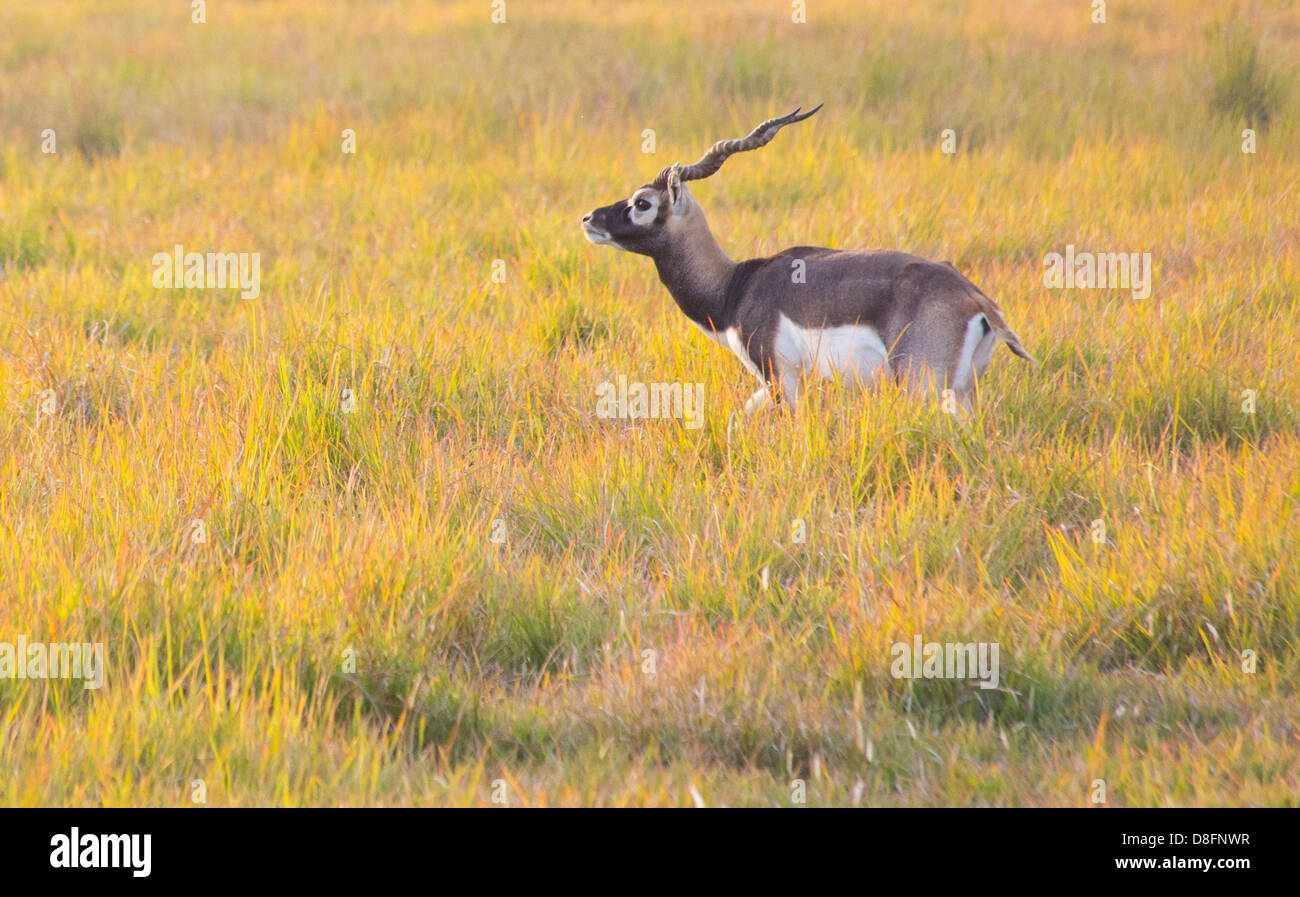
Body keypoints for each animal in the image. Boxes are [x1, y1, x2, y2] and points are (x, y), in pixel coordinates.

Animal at [582, 106, 1034, 413]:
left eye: (642, 203)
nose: (589, 218)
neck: (733, 287)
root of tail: (977, 300)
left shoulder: (780, 374)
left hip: (921, 384)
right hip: (963, 391)